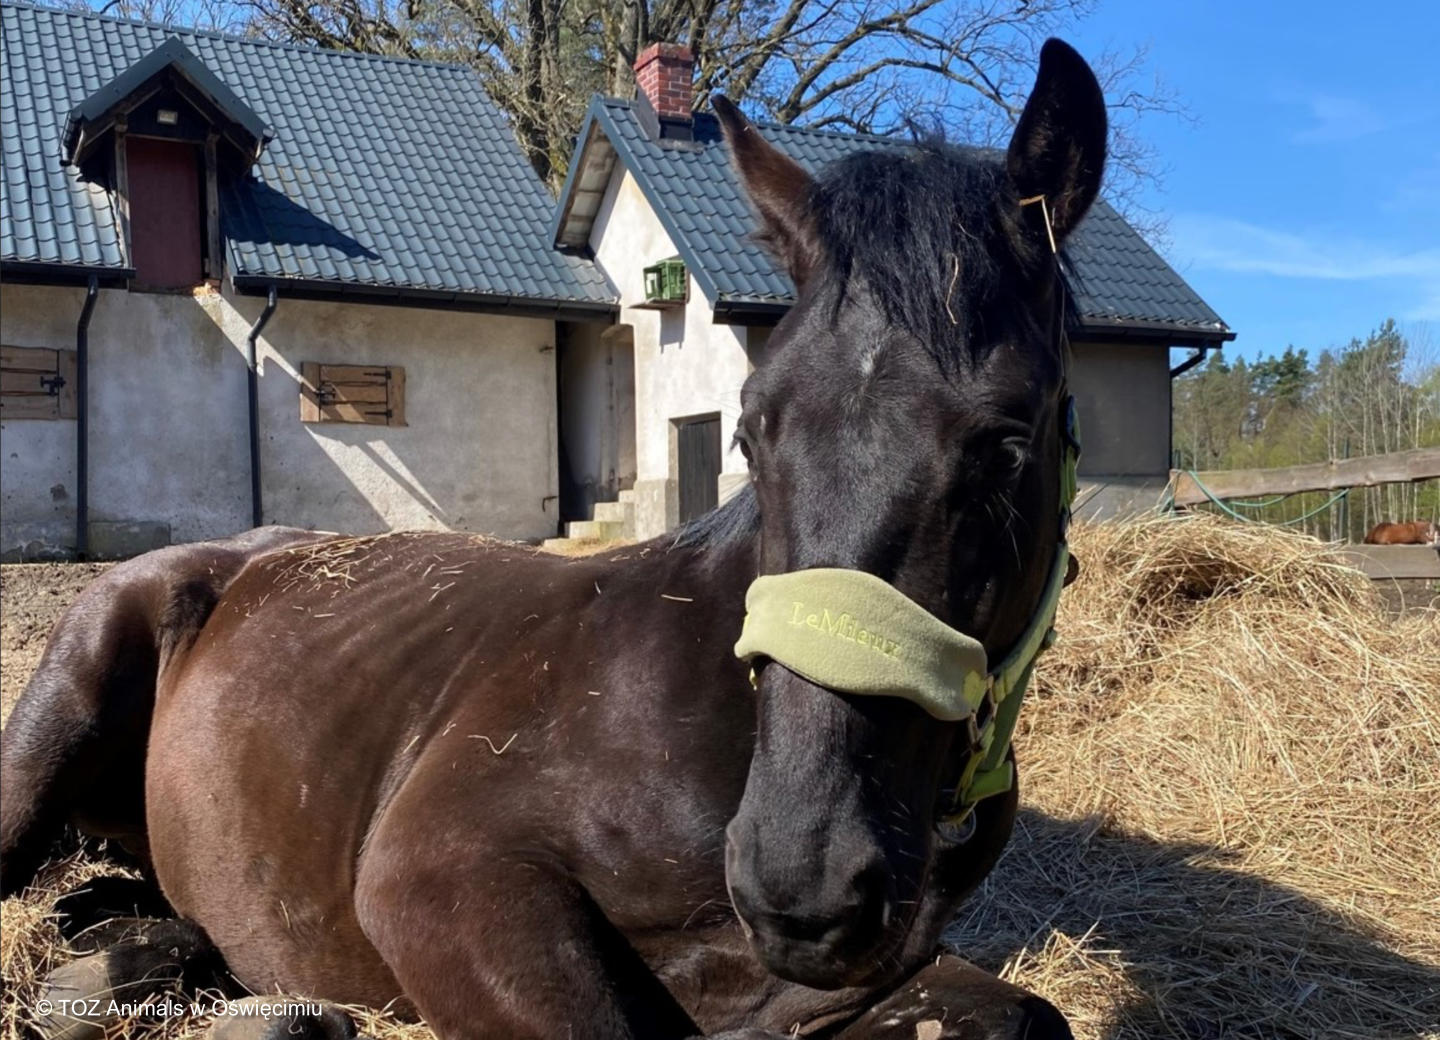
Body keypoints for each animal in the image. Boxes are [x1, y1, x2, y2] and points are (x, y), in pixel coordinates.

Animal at [0, 38, 1105, 1037]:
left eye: (1008, 443)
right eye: (750, 429)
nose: (806, 879)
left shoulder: (831, 985)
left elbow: (1022, 1015)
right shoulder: (440, 877)